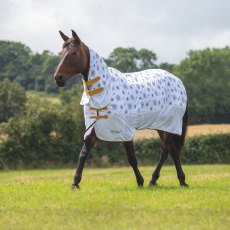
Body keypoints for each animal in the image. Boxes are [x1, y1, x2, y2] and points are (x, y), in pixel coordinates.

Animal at [54, 29, 189, 190]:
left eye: (73, 53)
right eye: (61, 53)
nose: (58, 78)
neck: (104, 89)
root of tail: (178, 81)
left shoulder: (125, 129)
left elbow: (131, 158)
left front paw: (140, 181)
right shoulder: (94, 126)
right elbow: (84, 152)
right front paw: (75, 183)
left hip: (168, 123)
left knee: (165, 150)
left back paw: (153, 180)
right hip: (161, 126)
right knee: (173, 150)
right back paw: (181, 180)